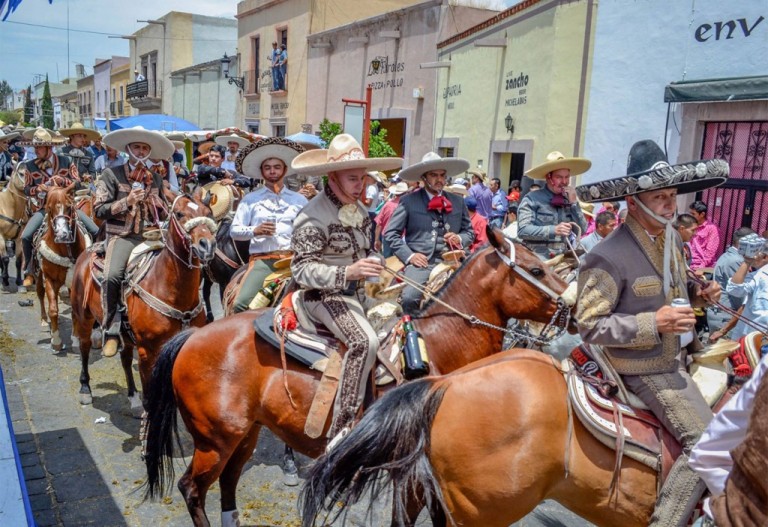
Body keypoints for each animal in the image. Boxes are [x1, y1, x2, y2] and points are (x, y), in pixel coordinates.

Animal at [35, 184, 90, 352]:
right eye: (49, 208)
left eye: (69, 207)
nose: (62, 235)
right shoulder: (49, 279)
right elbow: (53, 310)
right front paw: (56, 341)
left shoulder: (74, 281)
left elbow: (74, 310)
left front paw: (76, 337)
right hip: (39, 274)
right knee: (40, 293)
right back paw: (44, 320)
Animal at [70, 192, 218, 410]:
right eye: (179, 213)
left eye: (208, 213)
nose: (207, 245)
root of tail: (89, 251)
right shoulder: (147, 352)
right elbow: (151, 398)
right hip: (84, 317)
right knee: (85, 347)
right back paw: (85, 388)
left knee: (124, 358)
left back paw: (133, 396)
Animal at [144, 230, 576, 527]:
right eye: (536, 269)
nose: (574, 308)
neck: (439, 349)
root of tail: (192, 337)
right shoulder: (411, 474)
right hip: (215, 440)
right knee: (192, 489)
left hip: (244, 434)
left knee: (228, 482)